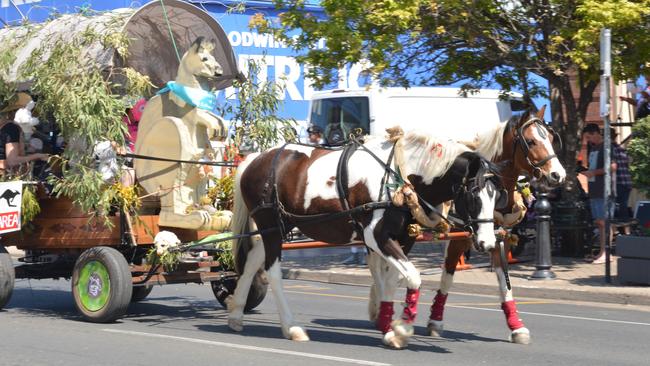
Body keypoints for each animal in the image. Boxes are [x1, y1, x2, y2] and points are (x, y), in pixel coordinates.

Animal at [228, 132, 506, 348]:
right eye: (473, 195)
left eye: (496, 196)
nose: (488, 243)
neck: (400, 176)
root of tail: (253, 159)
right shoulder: (376, 236)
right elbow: (413, 277)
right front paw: (401, 330)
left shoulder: (404, 239)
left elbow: (394, 280)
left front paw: (388, 323)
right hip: (271, 226)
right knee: (272, 271)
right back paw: (291, 327)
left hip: (278, 227)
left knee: (252, 262)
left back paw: (236, 315)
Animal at [368, 110, 564, 344]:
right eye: (532, 141)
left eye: (551, 138)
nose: (558, 175)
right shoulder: (459, 240)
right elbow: (447, 277)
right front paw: (434, 321)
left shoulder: (498, 239)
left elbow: (504, 283)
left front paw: (516, 326)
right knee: (378, 266)